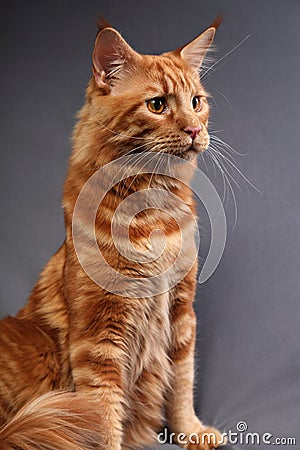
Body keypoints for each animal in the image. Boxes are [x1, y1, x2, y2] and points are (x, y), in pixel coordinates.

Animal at [0, 17, 225, 450]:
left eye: (196, 102)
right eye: (157, 105)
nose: (194, 130)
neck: (151, 209)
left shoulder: (181, 313)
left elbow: (182, 384)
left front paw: (191, 431)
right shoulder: (98, 339)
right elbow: (104, 415)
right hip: (37, 347)